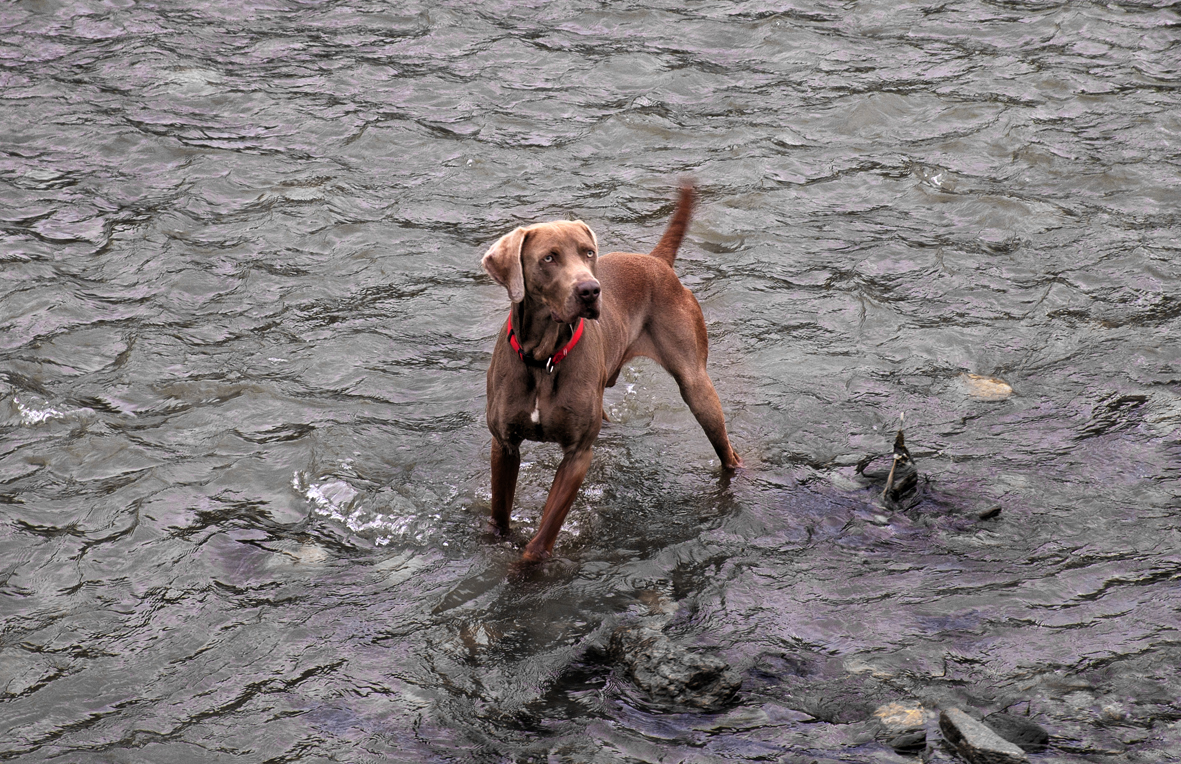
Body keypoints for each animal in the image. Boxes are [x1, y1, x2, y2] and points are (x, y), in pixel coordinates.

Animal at [479, 185, 736, 562]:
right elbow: (499, 513)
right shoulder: (504, 444)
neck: (544, 358)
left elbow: (544, 534)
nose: (589, 290)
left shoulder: (577, 455)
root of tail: (655, 261)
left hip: (697, 387)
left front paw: (526, 566)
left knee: (727, 451)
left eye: (587, 253)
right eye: (549, 258)